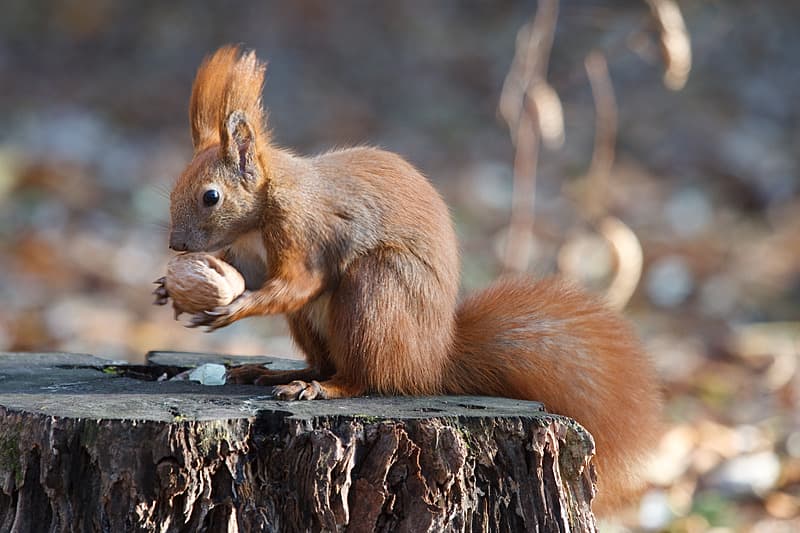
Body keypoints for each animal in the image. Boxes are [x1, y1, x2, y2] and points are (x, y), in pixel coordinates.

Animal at [156, 46, 664, 512]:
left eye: (211, 196)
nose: (178, 246)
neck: (259, 215)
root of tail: (431, 361)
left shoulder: (304, 227)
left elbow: (299, 282)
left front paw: (231, 309)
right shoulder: (248, 255)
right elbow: (253, 276)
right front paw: (171, 291)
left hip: (376, 291)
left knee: (367, 377)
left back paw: (323, 388)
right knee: (325, 361)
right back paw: (279, 373)